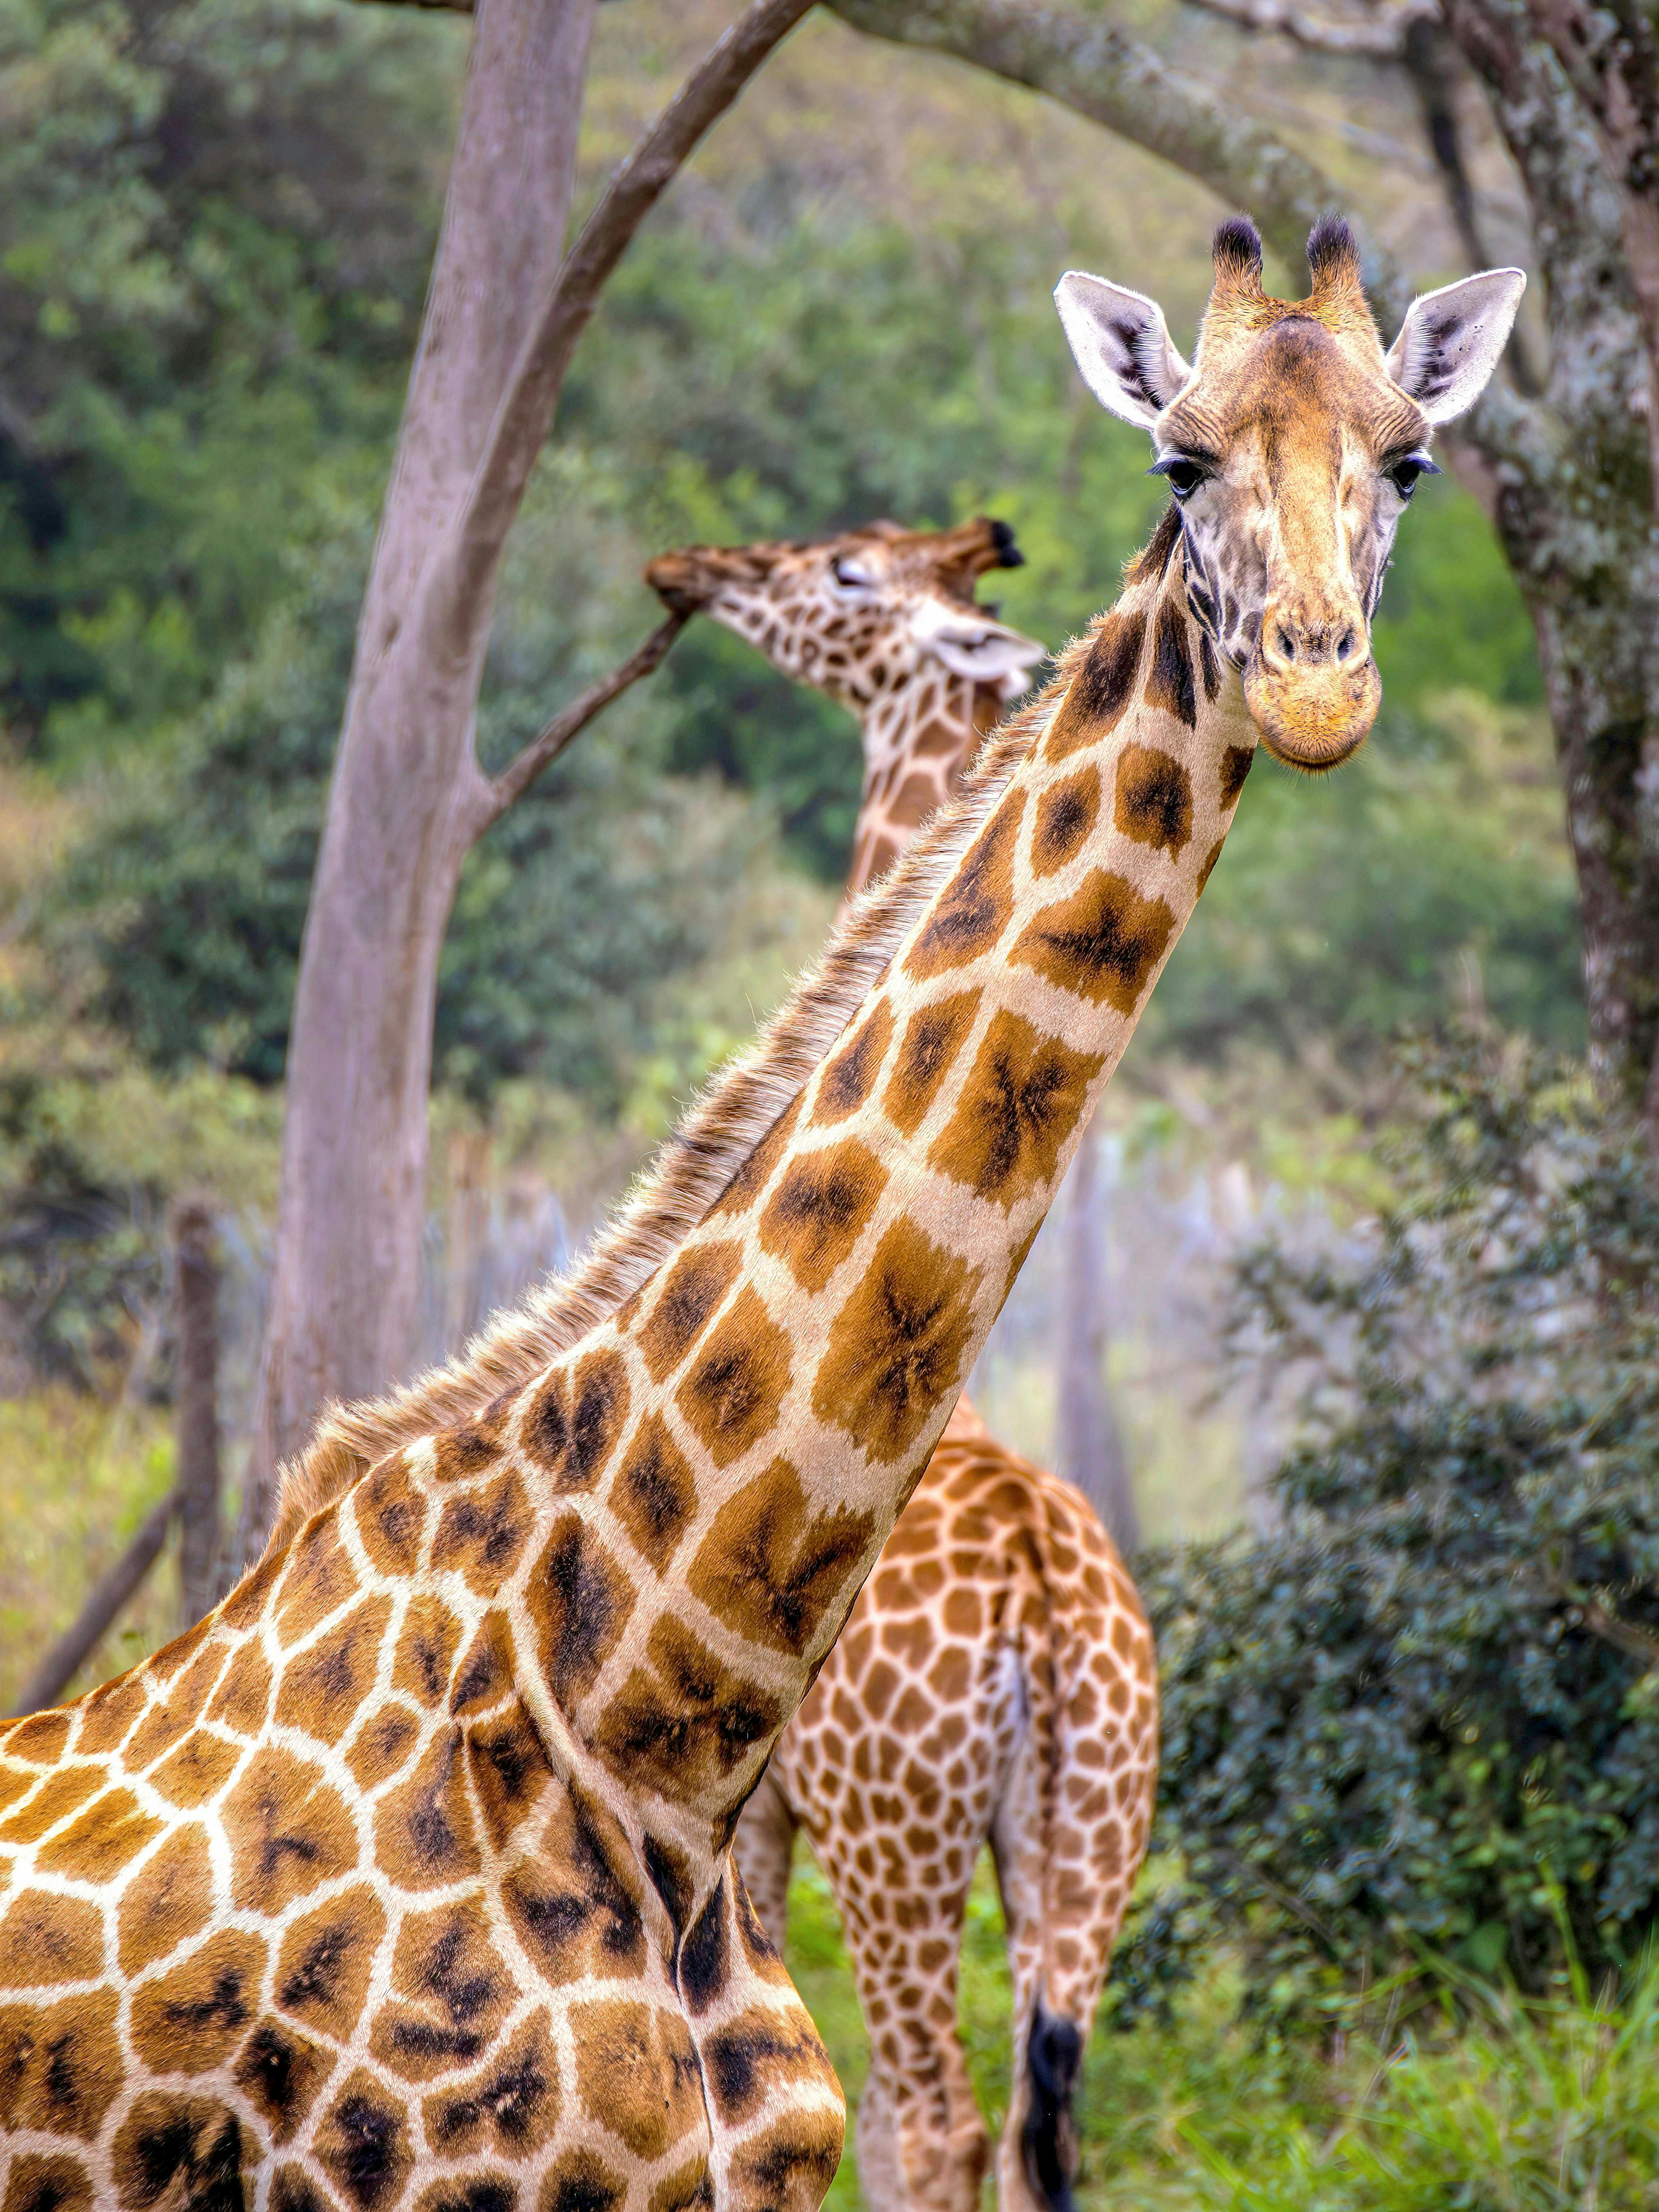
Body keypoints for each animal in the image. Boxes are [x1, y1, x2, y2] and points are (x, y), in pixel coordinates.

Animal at [643, 519, 1153, 2212]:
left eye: (845, 575)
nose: (688, 570)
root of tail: (1047, 1618)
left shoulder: (744, 1820)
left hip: (899, 1843)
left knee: (927, 2113)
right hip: (1087, 1841)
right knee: (1034, 2120)